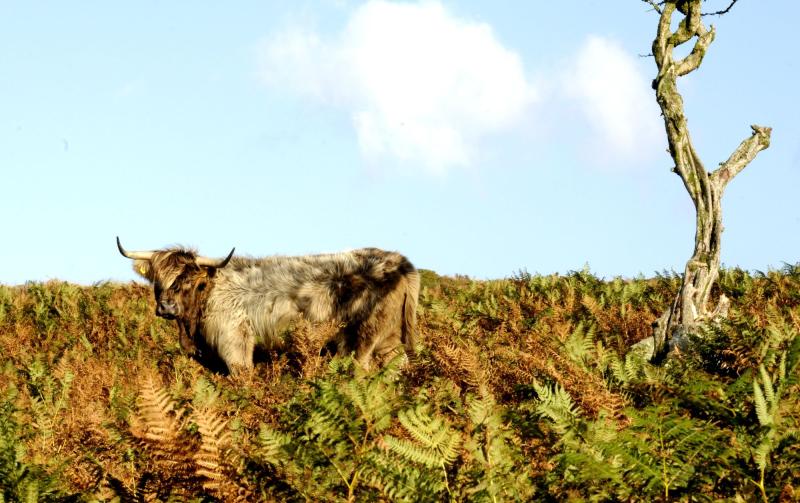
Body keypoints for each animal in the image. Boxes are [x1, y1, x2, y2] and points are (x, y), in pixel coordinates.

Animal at [116, 237, 420, 374]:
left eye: (188, 279)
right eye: (157, 279)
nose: (166, 307)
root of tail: (399, 261)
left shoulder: (235, 344)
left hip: (362, 340)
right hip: (389, 340)